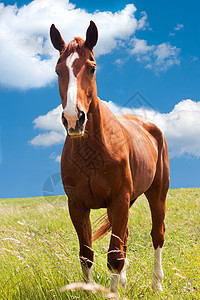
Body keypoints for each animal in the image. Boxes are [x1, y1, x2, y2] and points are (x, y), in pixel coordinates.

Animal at [49, 21, 169, 292]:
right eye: (58, 70)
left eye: (92, 68)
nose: (73, 119)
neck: (91, 152)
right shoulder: (77, 205)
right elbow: (87, 254)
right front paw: (90, 290)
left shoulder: (119, 200)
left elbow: (114, 257)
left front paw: (112, 293)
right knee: (123, 237)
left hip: (157, 195)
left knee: (156, 235)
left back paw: (157, 284)